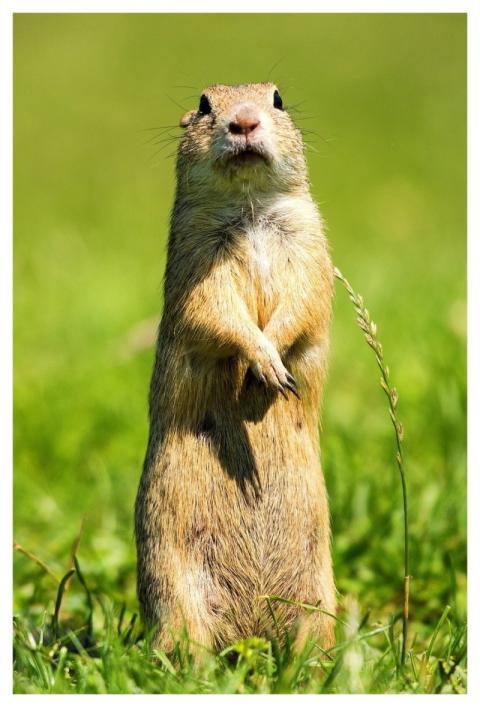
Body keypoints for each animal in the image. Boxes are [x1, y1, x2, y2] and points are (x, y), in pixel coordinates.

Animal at [135, 82, 335, 653]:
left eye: (278, 99)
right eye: (205, 105)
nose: (243, 121)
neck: (248, 209)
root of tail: (251, 630)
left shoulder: (310, 242)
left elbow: (306, 300)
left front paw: (272, 365)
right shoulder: (196, 254)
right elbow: (213, 309)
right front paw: (259, 360)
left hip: (320, 593)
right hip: (172, 587)